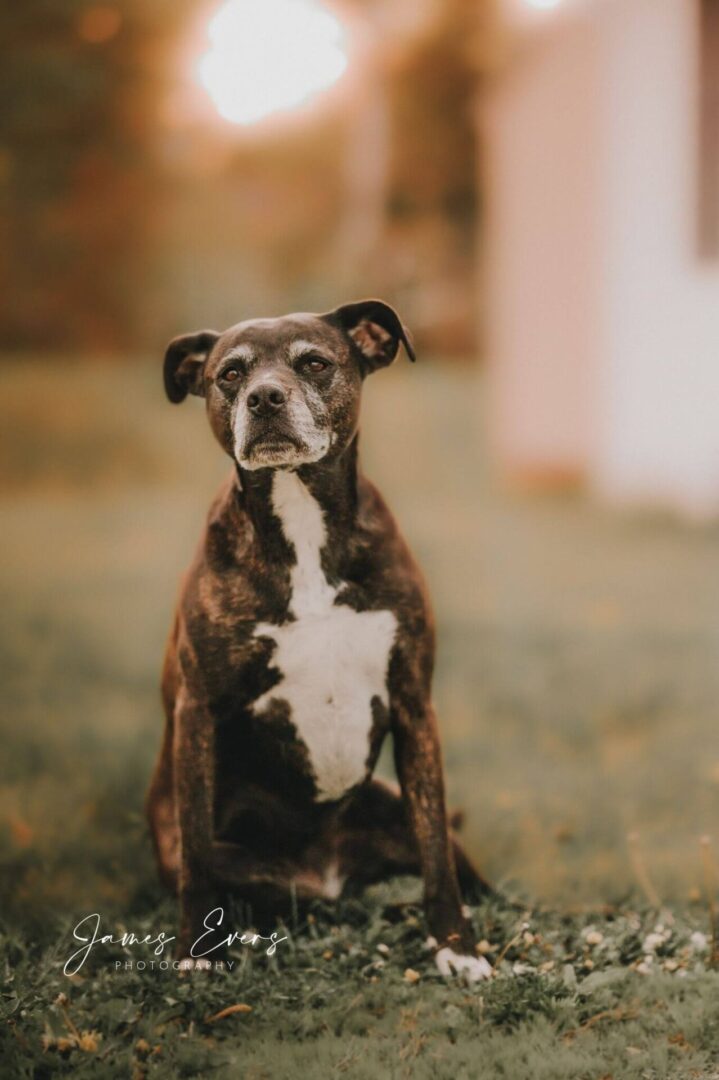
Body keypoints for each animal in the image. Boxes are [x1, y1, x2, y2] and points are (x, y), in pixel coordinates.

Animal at [146, 300, 492, 984]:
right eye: (230, 374)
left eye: (314, 363)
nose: (265, 397)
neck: (301, 518)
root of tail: (327, 876)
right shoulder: (198, 712)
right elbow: (197, 854)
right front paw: (194, 953)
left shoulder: (414, 704)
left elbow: (435, 854)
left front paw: (456, 948)